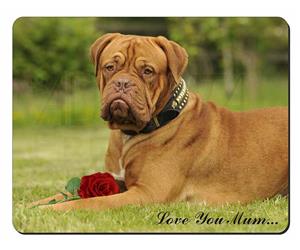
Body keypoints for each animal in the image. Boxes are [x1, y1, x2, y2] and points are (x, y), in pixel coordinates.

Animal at [31, 32, 288, 210]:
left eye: (147, 71)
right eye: (109, 67)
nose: (122, 83)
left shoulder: (147, 192)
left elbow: (90, 203)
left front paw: (54, 210)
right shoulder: (116, 180)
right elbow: (59, 194)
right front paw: (33, 205)